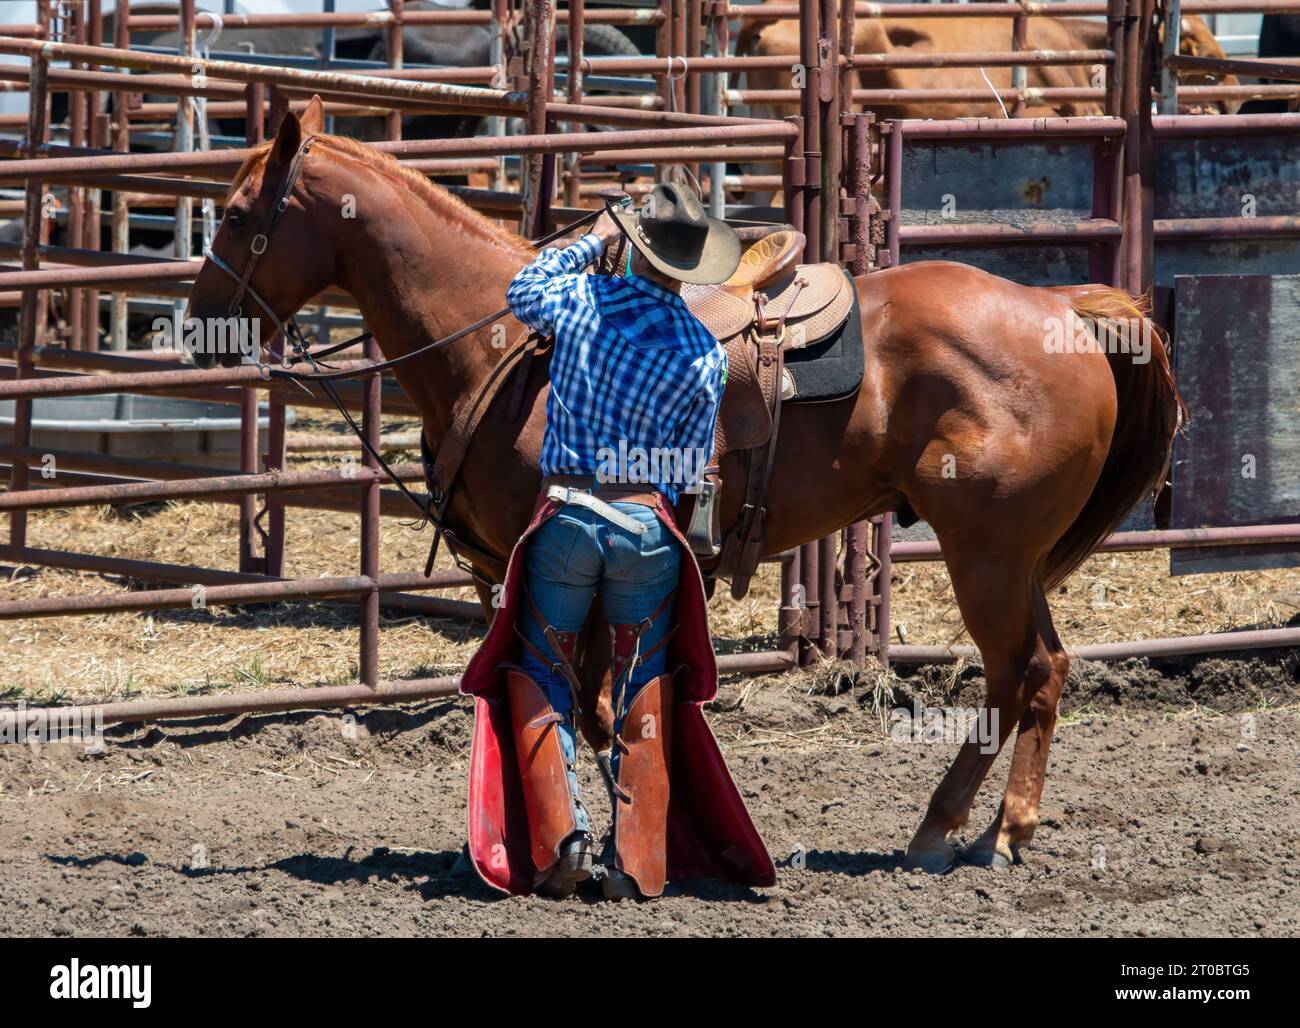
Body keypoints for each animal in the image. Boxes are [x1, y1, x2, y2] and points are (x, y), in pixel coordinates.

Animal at [188, 100, 1185, 878]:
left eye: (235, 215)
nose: (198, 325)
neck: (506, 339)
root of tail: (1064, 312)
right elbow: (577, 704)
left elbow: (583, 705)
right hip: (1012, 559)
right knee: (1045, 671)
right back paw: (974, 831)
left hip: (987, 555)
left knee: (1020, 674)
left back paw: (972, 832)